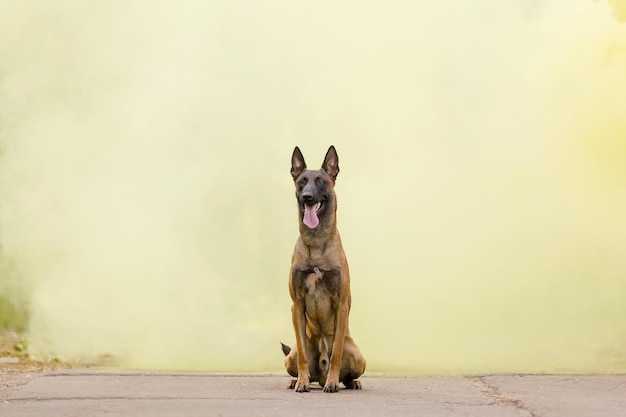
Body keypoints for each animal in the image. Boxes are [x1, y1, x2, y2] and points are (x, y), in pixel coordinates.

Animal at [280, 145, 364, 392]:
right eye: (301, 182)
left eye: (320, 181)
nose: (307, 196)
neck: (317, 243)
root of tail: (320, 374)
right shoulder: (297, 305)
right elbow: (302, 355)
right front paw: (301, 381)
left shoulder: (341, 304)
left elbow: (335, 352)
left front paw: (333, 382)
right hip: (290, 356)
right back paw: (299, 379)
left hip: (358, 356)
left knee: (346, 369)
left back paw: (347, 381)